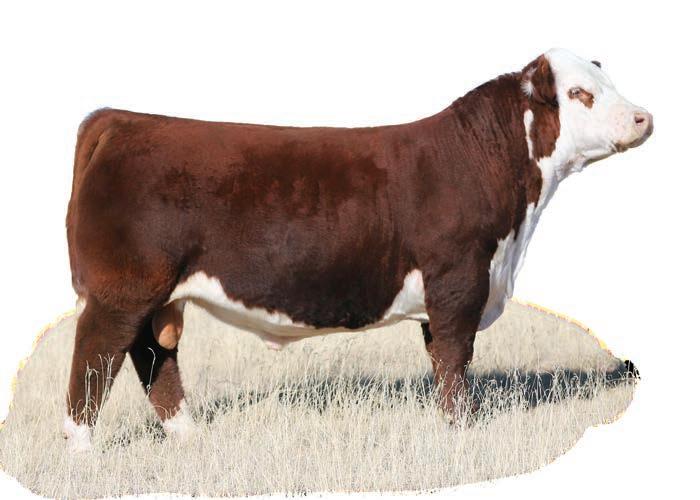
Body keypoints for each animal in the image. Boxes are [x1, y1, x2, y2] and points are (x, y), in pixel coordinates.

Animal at [63, 49, 652, 451]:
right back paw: (82, 450)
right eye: (580, 94)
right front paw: (461, 429)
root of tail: (122, 121)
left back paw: (189, 435)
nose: (643, 118)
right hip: (123, 289)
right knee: (96, 356)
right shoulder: (458, 279)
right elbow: (456, 359)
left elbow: (441, 357)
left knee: (153, 355)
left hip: (157, 295)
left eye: (609, 82)